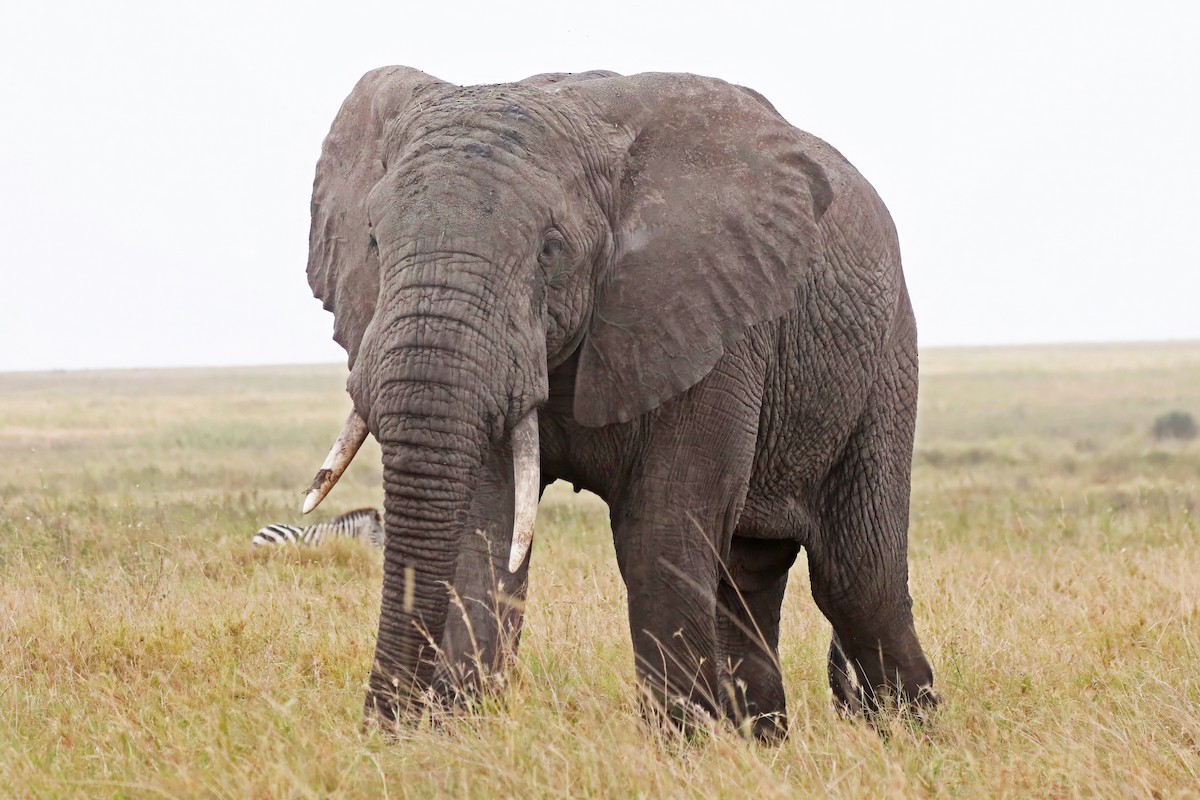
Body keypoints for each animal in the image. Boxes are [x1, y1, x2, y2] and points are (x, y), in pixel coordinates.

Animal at [300, 65, 937, 740]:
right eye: (373, 241)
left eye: (550, 248)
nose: (385, 728)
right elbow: (486, 531)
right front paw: (460, 738)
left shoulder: (713, 311)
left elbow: (662, 524)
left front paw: (681, 750)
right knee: (748, 577)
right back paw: (763, 746)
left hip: (886, 356)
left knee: (855, 579)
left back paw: (911, 739)